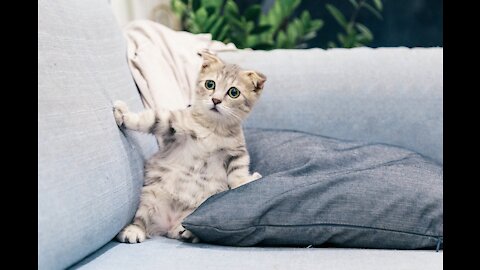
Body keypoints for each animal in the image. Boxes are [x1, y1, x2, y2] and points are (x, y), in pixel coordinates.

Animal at [115, 50, 268, 243]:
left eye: (234, 92)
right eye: (210, 84)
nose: (216, 100)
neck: (213, 128)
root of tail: (168, 225)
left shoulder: (237, 152)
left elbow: (237, 173)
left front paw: (245, 180)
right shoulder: (173, 125)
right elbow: (151, 120)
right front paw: (123, 115)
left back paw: (185, 231)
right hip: (150, 196)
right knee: (141, 219)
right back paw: (133, 231)